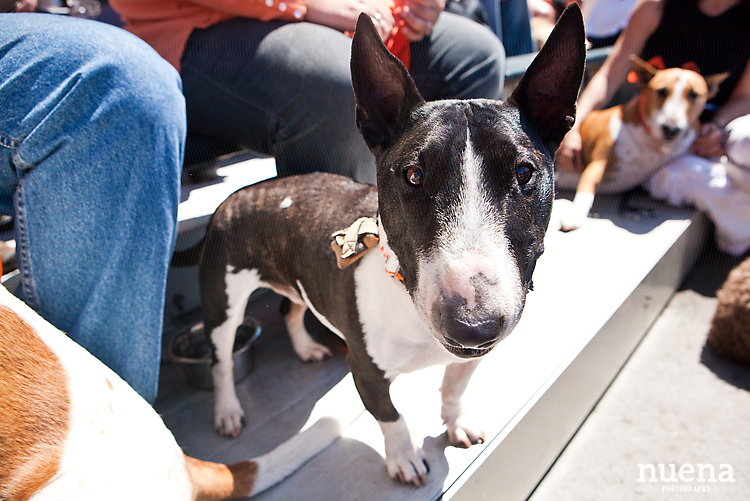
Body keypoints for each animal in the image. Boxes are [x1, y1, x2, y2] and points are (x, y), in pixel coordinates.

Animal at [181, 4, 588, 484]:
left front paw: (457, 422)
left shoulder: (470, 357)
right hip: (223, 302)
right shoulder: (365, 372)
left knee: (289, 308)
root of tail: (234, 197)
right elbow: (391, 417)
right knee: (222, 359)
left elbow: (455, 386)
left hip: (297, 279)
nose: (473, 324)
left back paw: (305, 347)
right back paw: (227, 410)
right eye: (413, 175)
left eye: (524, 173)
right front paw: (405, 458)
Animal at [560, 56, 728, 230]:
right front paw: (575, 214)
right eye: (661, 91)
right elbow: (586, 186)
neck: (653, 141)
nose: (670, 129)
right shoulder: (598, 163)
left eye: (694, 94)